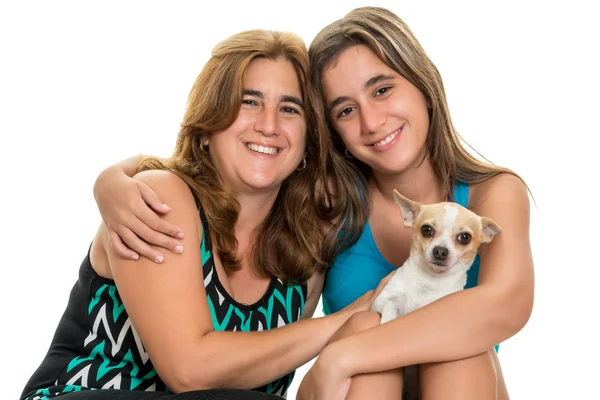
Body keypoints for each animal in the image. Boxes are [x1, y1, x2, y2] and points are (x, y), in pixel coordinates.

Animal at [372, 189, 500, 324]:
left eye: (465, 237)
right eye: (427, 230)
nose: (440, 251)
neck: (430, 280)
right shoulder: (380, 302)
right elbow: (390, 306)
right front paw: (387, 319)